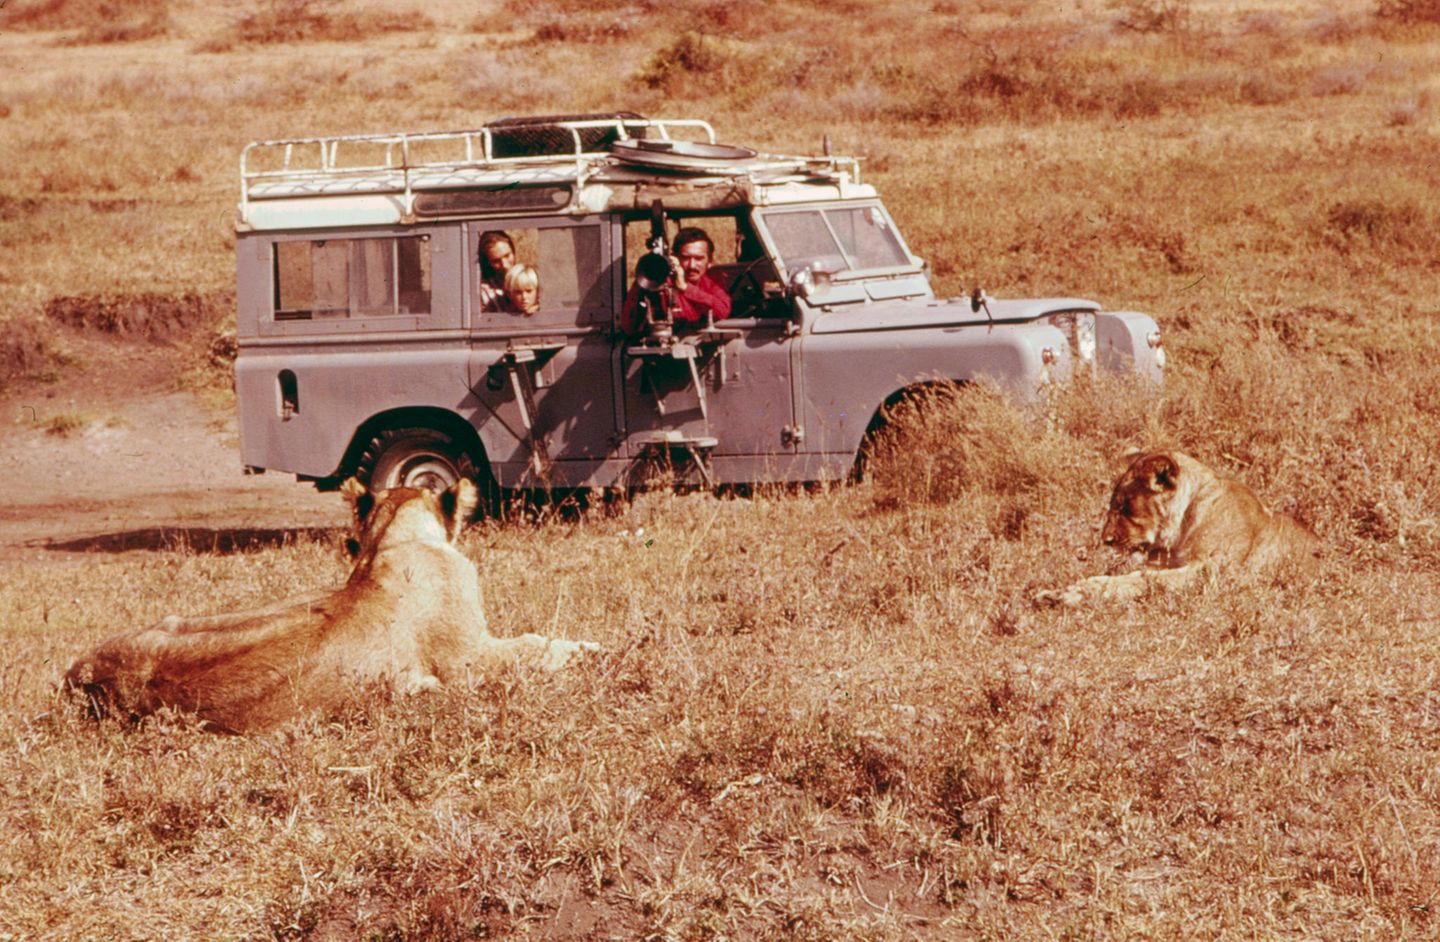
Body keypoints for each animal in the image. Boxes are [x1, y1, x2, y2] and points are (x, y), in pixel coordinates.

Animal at [1035, 449, 1320, 606]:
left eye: (1126, 508)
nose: (1106, 539)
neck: (1184, 526)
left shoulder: (1209, 571)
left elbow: (1142, 579)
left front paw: (1078, 593)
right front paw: (1057, 593)